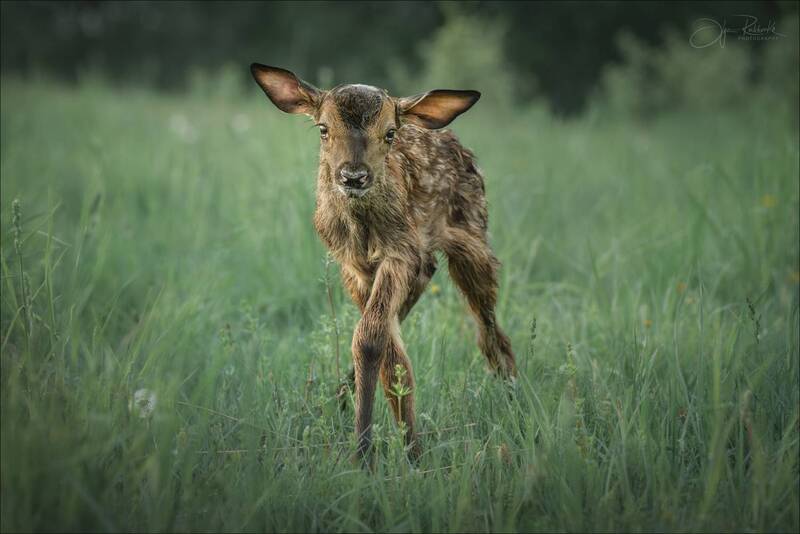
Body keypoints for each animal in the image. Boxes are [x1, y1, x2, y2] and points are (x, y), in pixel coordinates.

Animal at [250, 63, 517, 462]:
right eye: (323, 129)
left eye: (389, 133)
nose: (353, 175)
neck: (363, 228)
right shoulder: (353, 266)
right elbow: (385, 349)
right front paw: (390, 446)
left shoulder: (400, 251)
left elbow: (371, 340)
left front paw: (376, 452)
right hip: (419, 264)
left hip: (472, 240)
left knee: (489, 330)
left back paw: (515, 396)